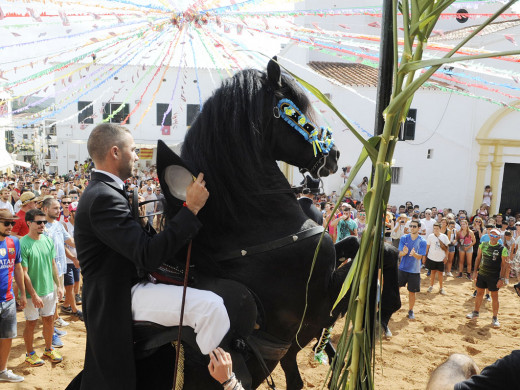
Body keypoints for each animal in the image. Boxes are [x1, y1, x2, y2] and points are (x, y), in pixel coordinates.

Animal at [140, 58, 400, 390]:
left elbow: (363, 244)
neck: (253, 231)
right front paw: (383, 311)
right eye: (296, 107)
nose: (335, 155)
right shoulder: (318, 304)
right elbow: (374, 254)